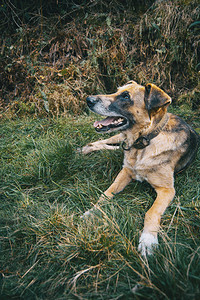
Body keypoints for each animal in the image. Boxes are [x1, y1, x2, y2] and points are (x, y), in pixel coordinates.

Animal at [79, 81, 198, 256]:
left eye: (125, 96)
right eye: (117, 91)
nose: (88, 99)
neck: (144, 141)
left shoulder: (167, 190)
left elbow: (152, 212)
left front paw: (148, 239)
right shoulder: (125, 172)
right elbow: (105, 194)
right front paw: (90, 212)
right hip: (117, 136)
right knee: (101, 142)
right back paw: (84, 149)